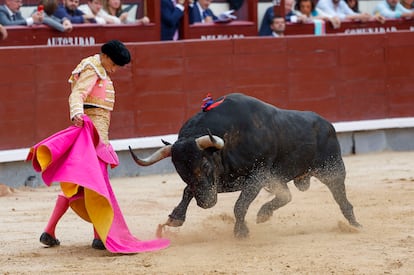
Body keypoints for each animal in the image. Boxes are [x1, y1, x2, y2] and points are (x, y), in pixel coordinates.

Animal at [129, 93, 362, 239]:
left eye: (204, 164)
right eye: (180, 171)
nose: (205, 203)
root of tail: (327, 124)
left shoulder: (256, 176)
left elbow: (239, 205)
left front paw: (241, 232)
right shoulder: (220, 182)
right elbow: (188, 190)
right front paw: (175, 218)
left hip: (332, 169)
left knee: (342, 198)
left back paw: (354, 225)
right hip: (281, 177)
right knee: (286, 195)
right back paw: (264, 214)